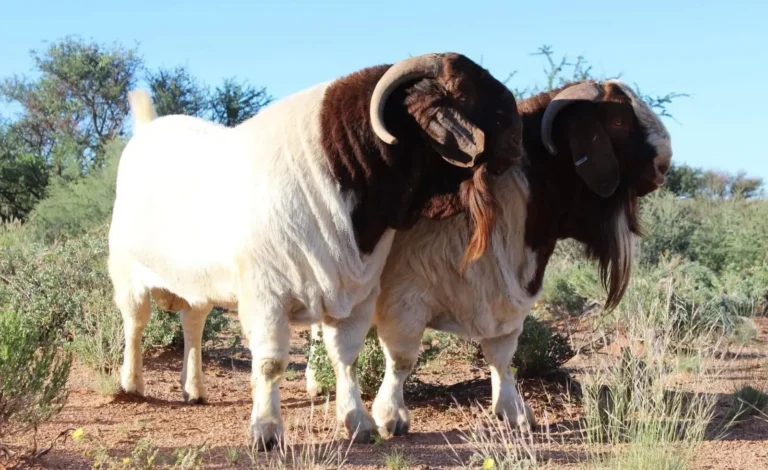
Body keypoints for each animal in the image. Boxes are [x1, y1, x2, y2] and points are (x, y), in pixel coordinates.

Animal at [108, 52, 523, 450]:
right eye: (464, 92)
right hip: (127, 275)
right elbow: (270, 364)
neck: (341, 169)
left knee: (192, 324)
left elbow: (346, 358)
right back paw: (132, 384)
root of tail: (147, 128)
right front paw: (266, 430)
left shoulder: (355, 292)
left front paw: (358, 422)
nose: (515, 145)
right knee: (136, 323)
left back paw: (193, 389)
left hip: (198, 283)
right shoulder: (266, 296)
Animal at [306, 79, 672, 436]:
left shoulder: (505, 292)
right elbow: (402, 358)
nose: (664, 164)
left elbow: (502, 354)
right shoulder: (406, 295)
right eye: (619, 121)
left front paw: (514, 411)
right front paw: (391, 415)